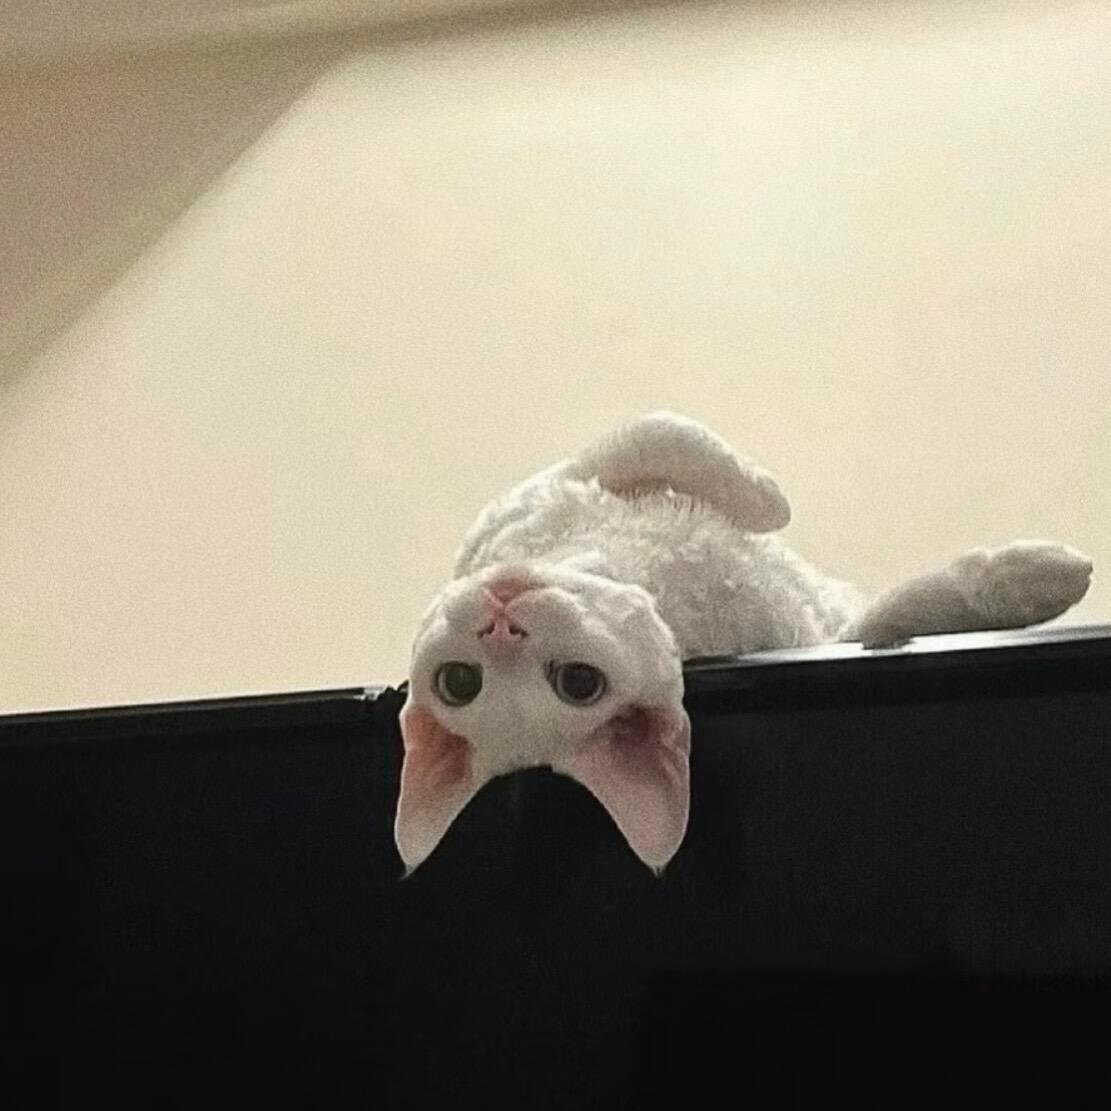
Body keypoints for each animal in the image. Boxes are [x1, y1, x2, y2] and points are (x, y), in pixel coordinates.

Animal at [397, 411, 1093, 873]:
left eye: (456, 683)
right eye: (579, 684)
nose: (500, 617)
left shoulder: (567, 476)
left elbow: (669, 435)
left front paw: (768, 502)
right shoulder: (822, 635)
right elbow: (894, 614)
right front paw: (1042, 579)